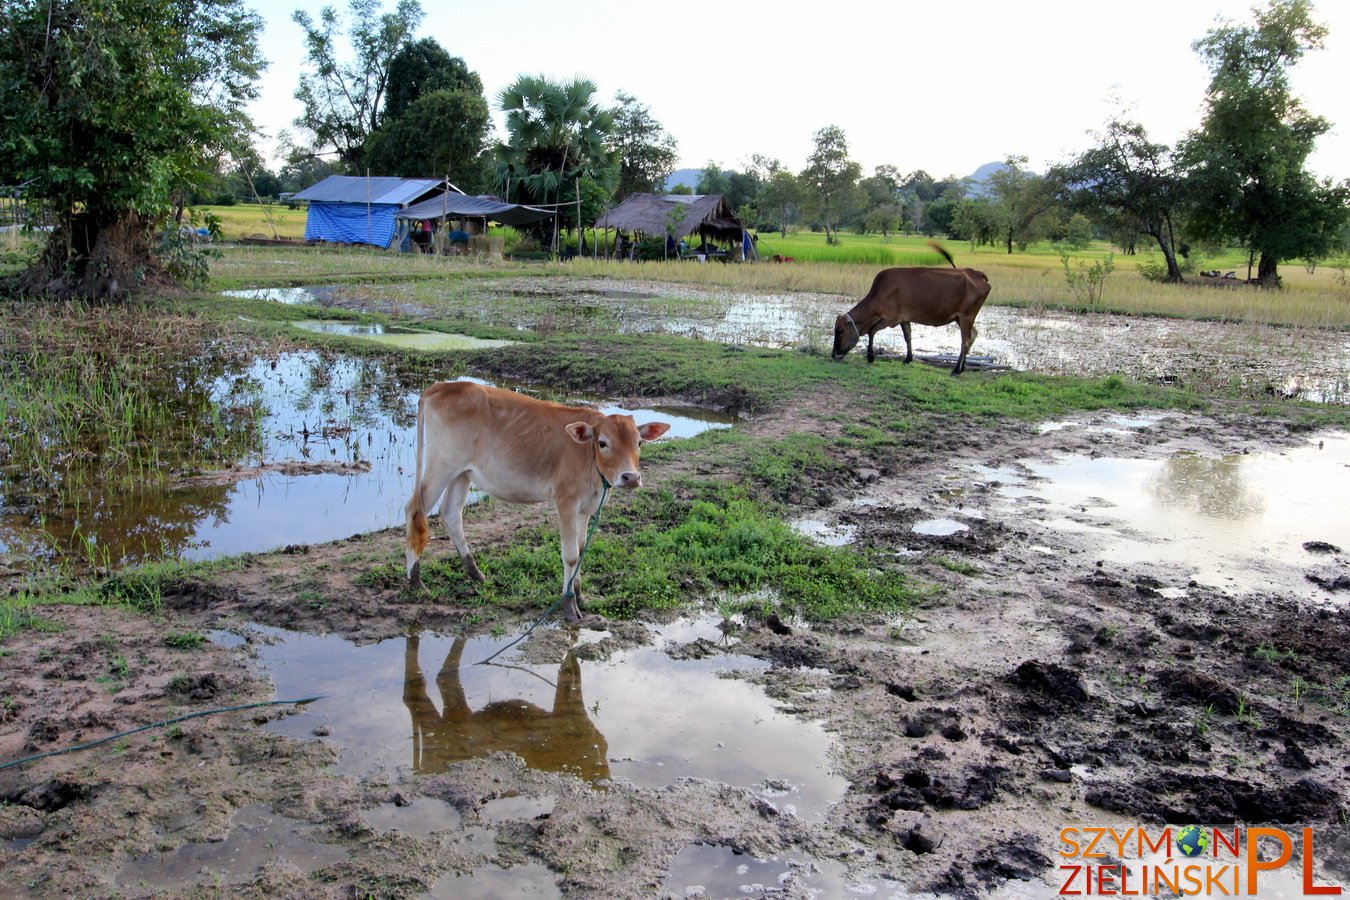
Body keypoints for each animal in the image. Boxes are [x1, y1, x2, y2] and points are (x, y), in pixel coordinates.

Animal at [402, 383, 672, 626]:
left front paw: (580, 595)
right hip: (441, 466)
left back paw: (476, 574)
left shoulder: (588, 507)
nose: (630, 477)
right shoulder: (566, 502)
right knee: (415, 510)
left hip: (462, 473)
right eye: (603, 442)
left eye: (639, 442)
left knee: (450, 513)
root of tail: (442, 386)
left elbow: (581, 549)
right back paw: (415, 581)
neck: (590, 460)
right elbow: (570, 555)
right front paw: (569, 606)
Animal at [826, 241, 988, 375]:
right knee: (972, 336)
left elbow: (871, 331)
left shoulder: (891, 319)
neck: (879, 292)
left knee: (965, 340)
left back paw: (956, 370)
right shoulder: (904, 319)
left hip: (967, 316)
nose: (834, 354)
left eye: (840, 331)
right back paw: (963, 366)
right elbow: (907, 337)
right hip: (960, 318)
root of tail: (978, 274)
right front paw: (908, 359)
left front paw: (871, 356)